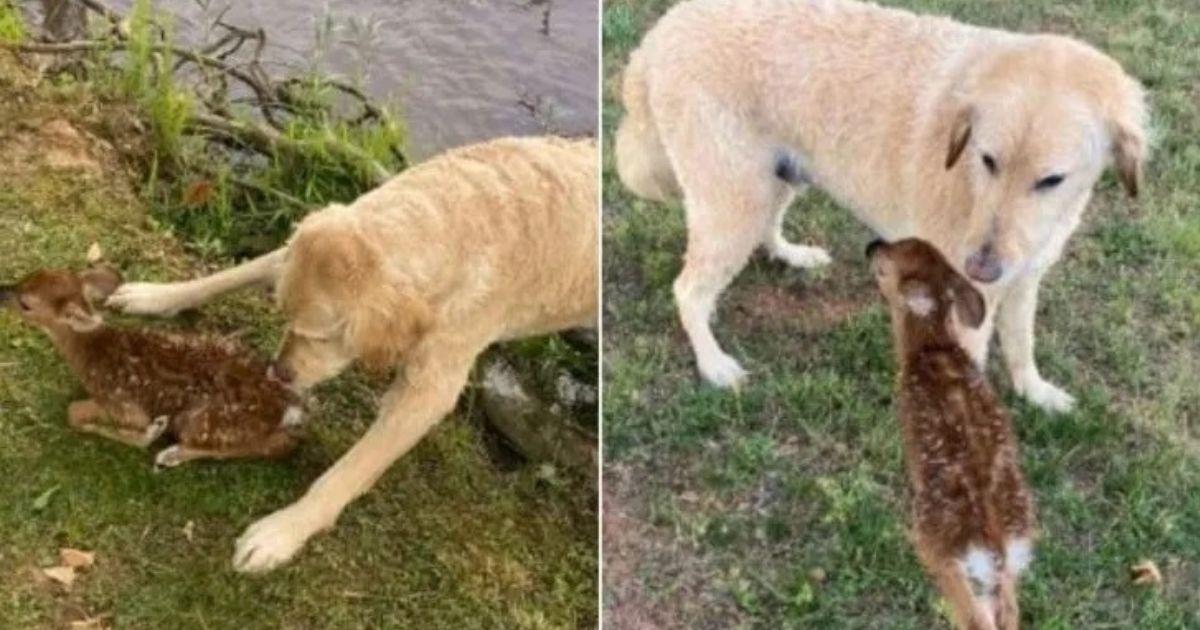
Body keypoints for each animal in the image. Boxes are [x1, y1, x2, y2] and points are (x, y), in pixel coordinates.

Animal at [106, 136, 595, 568]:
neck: (453, 218)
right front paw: (155, 296)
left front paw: (282, 533)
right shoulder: (291, 252)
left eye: (325, 337)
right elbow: (229, 275)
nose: (278, 372)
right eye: (284, 314)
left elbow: (348, 472)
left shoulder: (428, 389)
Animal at [614, 0, 1147, 412]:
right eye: (988, 160)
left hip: (775, 177)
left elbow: (1021, 344)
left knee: (765, 229)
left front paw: (1034, 392)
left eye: (1051, 180)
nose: (981, 267)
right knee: (688, 291)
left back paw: (791, 254)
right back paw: (713, 365)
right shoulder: (967, 304)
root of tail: (661, 31)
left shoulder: (1023, 279)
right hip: (735, 197)